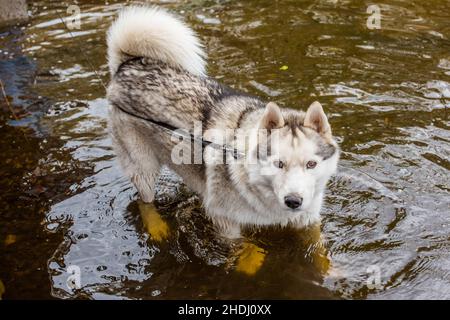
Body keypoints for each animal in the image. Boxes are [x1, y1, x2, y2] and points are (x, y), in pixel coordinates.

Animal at [106, 6, 338, 239]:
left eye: (311, 164)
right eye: (278, 163)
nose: (293, 201)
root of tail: (128, 64)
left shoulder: (308, 220)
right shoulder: (225, 222)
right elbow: (245, 247)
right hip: (143, 166)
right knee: (144, 201)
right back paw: (156, 227)